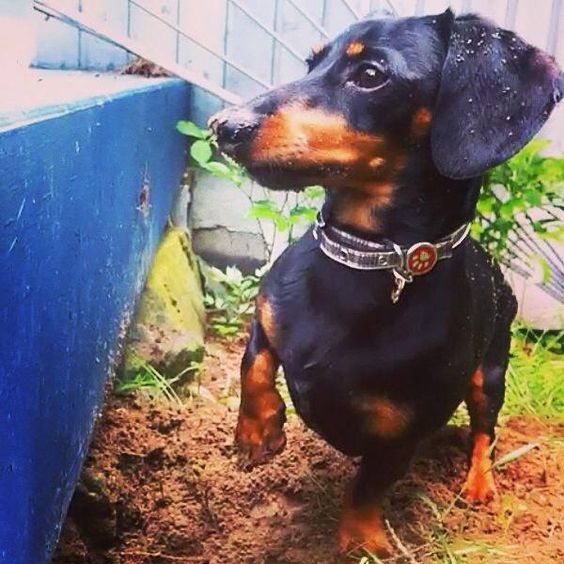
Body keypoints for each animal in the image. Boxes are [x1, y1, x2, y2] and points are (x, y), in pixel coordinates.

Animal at [209, 8, 560, 556]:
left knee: (485, 431)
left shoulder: (402, 434)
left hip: (491, 374)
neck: (366, 261)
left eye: (371, 75)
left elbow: (368, 486)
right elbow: (255, 364)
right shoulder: (268, 313)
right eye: (311, 63)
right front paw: (256, 433)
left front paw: (361, 542)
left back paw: (480, 485)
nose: (223, 126)